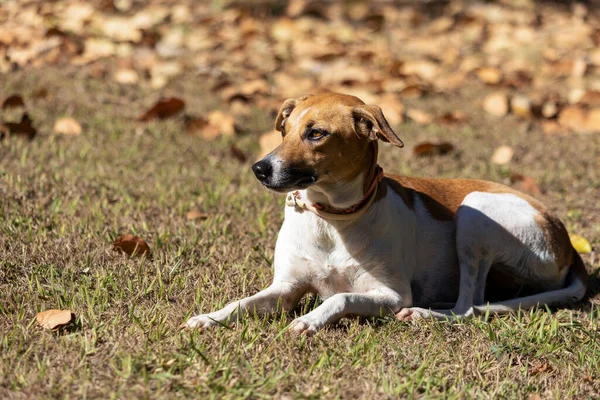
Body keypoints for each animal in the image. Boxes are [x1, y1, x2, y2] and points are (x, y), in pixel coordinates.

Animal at [185, 92, 588, 332]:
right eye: (284, 130)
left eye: (316, 134)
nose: (259, 169)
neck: (331, 219)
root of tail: (568, 244)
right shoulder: (285, 288)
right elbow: (242, 303)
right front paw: (209, 317)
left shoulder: (392, 295)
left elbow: (340, 296)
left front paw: (311, 320)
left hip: (475, 213)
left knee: (469, 306)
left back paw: (427, 313)